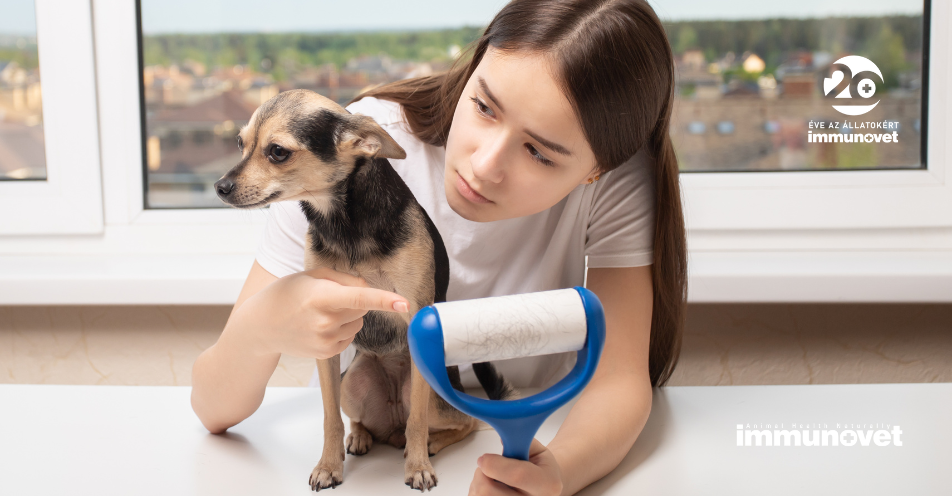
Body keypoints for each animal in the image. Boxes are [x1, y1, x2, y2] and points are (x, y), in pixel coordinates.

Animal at [216, 90, 512, 492]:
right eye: (239, 143)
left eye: (277, 151)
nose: (220, 187)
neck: (343, 221)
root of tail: (391, 424)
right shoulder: (326, 343)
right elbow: (329, 417)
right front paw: (329, 465)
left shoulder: (415, 312)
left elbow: (418, 421)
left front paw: (417, 467)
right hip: (352, 382)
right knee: (364, 420)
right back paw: (361, 436)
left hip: (432, 395)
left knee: (455, 422)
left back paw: (429, 445)